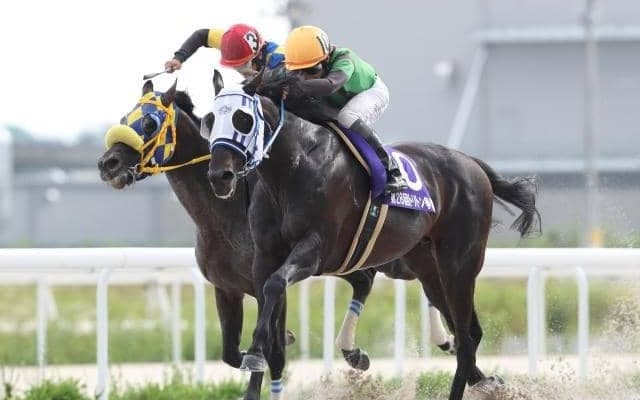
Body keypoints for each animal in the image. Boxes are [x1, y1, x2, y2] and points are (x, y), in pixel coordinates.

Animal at [97, 77, 454, 399]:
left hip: (397, 258)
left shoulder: (272, 283)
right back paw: (361, 351)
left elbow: (274, 351)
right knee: (368, 281)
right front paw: (273, 346)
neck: (227, 210)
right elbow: (231, 352)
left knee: (426, 288)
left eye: (150, 122)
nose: (107, 163)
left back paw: (445, 339)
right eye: (124, 119)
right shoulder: (226, 288)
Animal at [205, 70, 540, 400]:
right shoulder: (264, 256)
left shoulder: (316, 250)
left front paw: (253, 353)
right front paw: (255, 367)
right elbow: (268, 301)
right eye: (210, 119)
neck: (293, 169)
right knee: (464, 333)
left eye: (242, 119)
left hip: (459, 265)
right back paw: (486, 381)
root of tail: (472, 163)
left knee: (467, 338)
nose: (219, 176)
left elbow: (275, 285)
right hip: (426, 266)